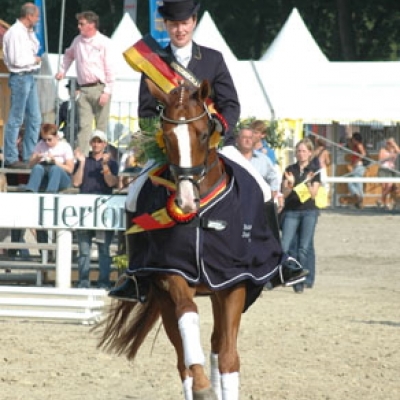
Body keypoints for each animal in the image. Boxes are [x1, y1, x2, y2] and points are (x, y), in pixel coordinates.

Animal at [97, 79, 282, 398]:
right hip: (163, 294)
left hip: (218, 292)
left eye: (204, 133)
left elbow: (229, 357)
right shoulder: (173, 272)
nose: (185, 201)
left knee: (218, 346)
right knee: (183, 357)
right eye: (168, 136)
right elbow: (188, 317)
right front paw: (203, 387)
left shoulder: (234, 280)